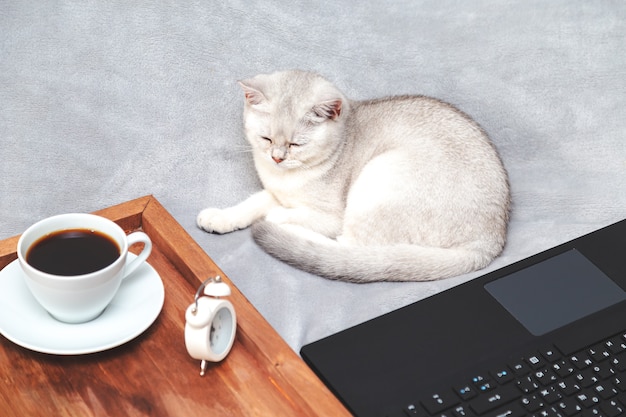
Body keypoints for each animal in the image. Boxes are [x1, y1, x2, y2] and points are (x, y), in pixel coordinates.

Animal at [197, 70, 510, 282]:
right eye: (266, 138)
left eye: (296, 144)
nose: (277, 157)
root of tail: (489, 241)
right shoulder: (276, 193)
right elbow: (251, 203)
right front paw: (220, 217)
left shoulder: (327, 215)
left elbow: (285, 213)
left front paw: (275, 217)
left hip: (380, 175)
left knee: (348, 247)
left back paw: (283, 230)